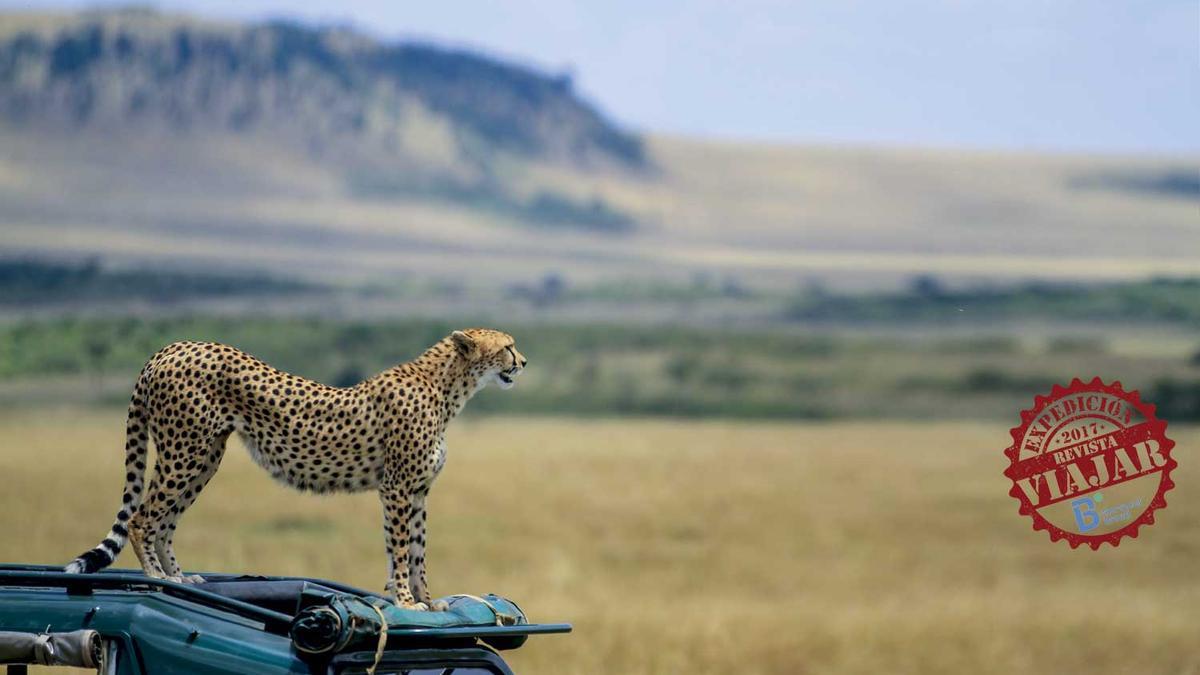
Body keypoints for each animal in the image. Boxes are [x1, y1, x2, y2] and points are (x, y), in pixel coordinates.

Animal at [64, 329, 525, 607]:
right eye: (507, 346)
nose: (522, 362)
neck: (447, 387)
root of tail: (173, 346)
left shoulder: (416, 491)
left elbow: (416, 549)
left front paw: (425, 600)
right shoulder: (396, 488)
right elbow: (398, 548)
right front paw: (407, 602)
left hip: (205, 457)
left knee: (165, 521)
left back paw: (180, 577)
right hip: (185, 450)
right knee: (143, 517)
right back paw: (160, 578)